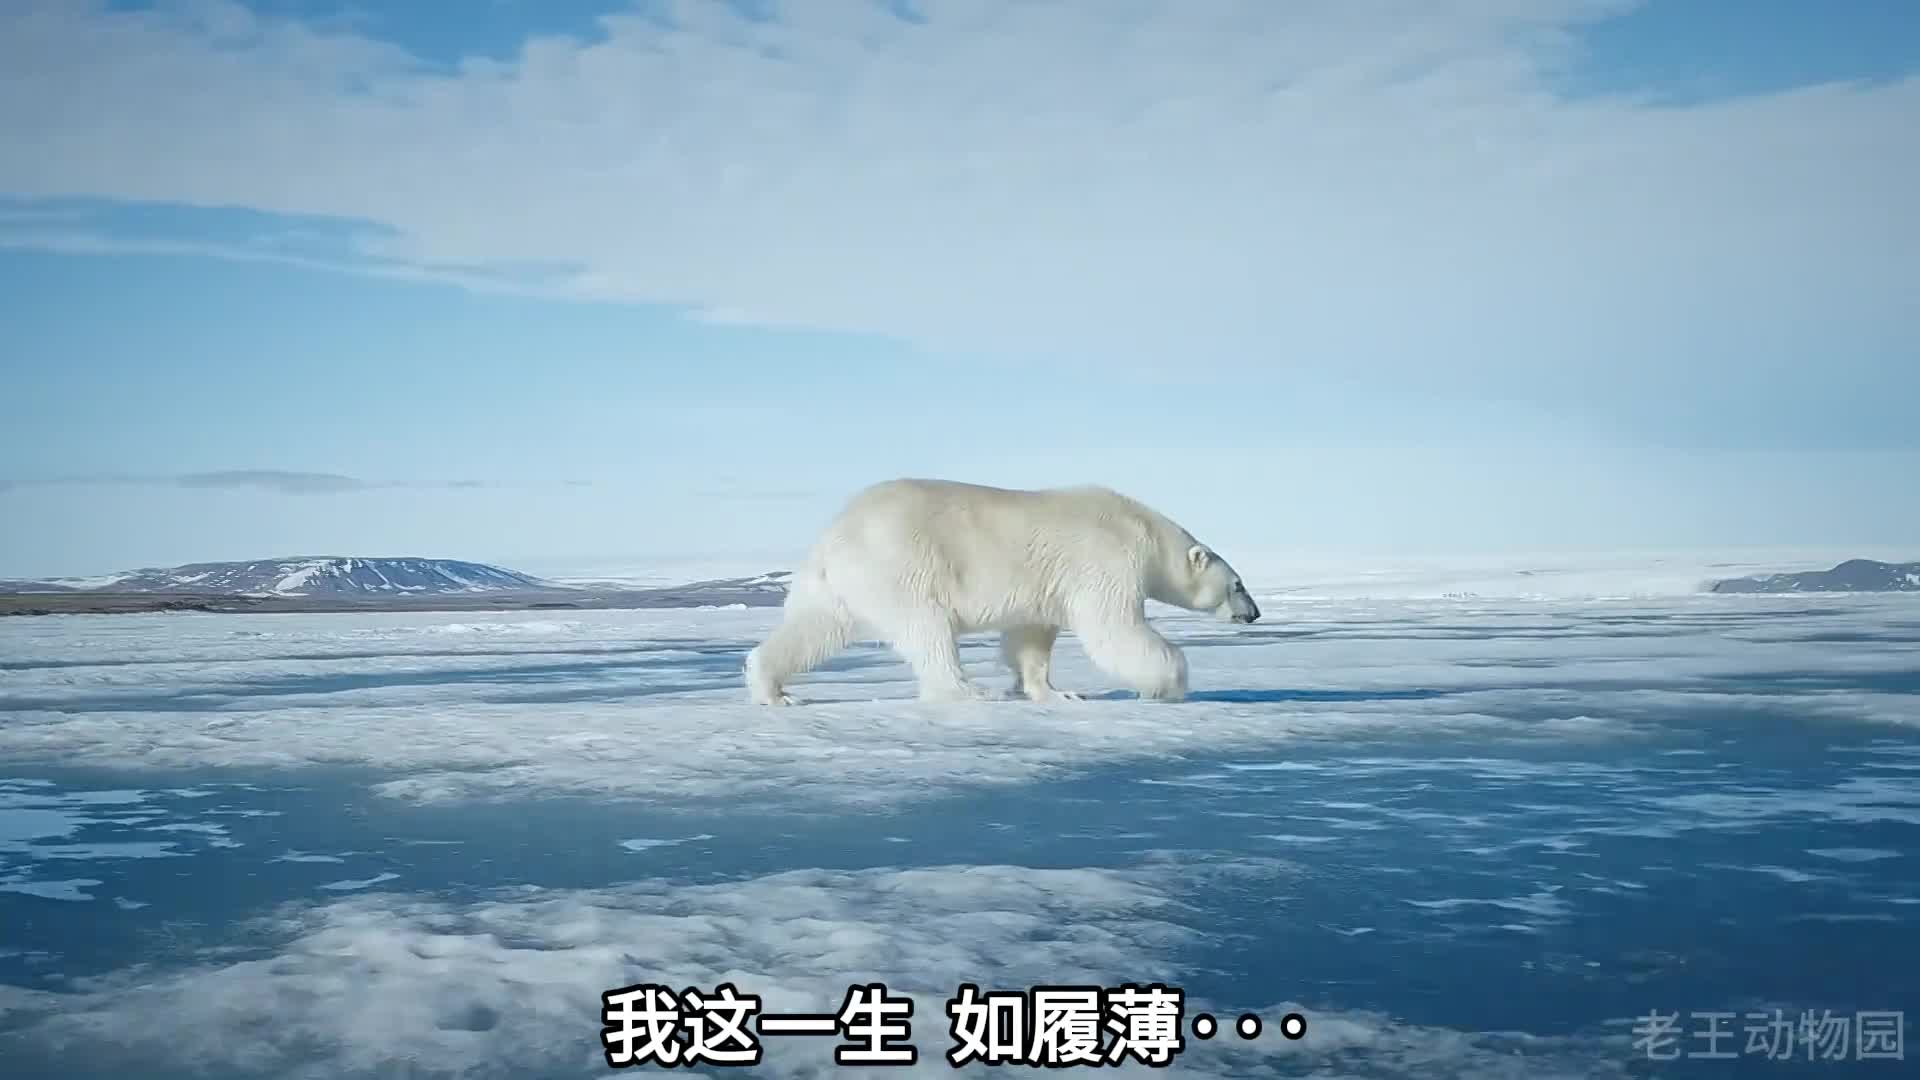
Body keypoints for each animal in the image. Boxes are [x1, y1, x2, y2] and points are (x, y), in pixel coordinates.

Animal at [743, 477, 1261, 705]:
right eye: (1238, 583)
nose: (1254, 613)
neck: (1144, 532)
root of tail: (832, 537)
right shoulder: (1105, 560)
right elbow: (1115, 627)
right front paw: (1168, 685)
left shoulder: (1046, 586)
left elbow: (1031, 637)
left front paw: (1054, 692)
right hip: (904, 566)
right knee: (927, 630)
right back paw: (967, 690)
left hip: (838, 586)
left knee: (816, 629)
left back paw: (772, 689)